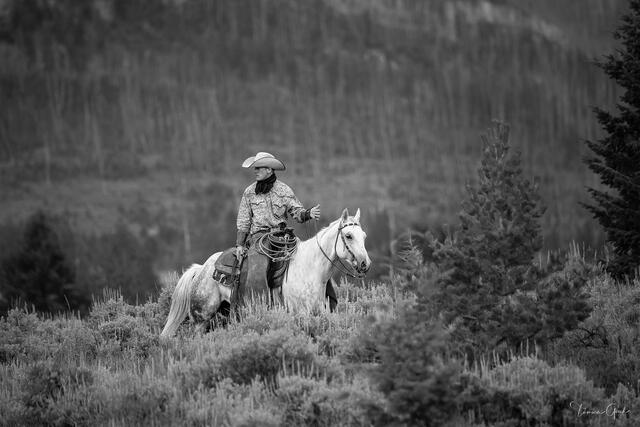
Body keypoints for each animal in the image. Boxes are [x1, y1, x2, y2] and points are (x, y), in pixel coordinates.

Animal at [160, 208, 371, 337]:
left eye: (364, 236)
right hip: (200, 319)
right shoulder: (301, 316)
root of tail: (201, 269)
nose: (364, 263)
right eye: (348, 236)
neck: (311, 271)